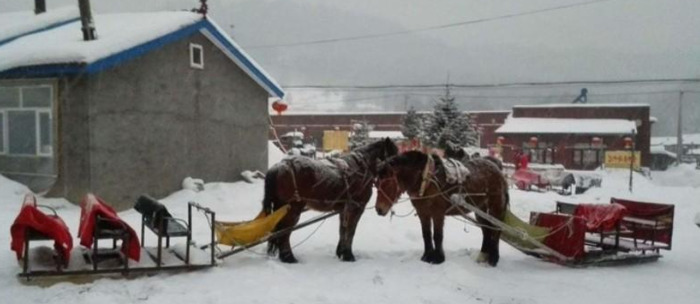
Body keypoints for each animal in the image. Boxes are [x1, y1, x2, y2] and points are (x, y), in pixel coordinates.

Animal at [262, 139, 396, 262]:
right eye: (394, 155)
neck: (362, 167)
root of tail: (279, 166)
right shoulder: (356, 207)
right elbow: (350, 231)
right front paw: (348, 255)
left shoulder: (343, 209)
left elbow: (342, 230)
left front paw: (341, 252)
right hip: (293, 209)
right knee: (284, 232)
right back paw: (288, 257)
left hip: (282, 207)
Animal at [378, 151, 508, 266]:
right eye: (377, 183)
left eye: (387, 183)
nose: (379, 209)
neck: (426, 180)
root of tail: (497, 169)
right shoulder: (423, 213)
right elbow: (426, 234)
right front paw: (426, 256)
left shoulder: (438, 213)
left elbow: (437, 235)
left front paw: (438, 259)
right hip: (480, 210)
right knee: (486, 230)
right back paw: (482, 255)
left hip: (495, 207)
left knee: (496, 230)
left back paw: (493, 259)